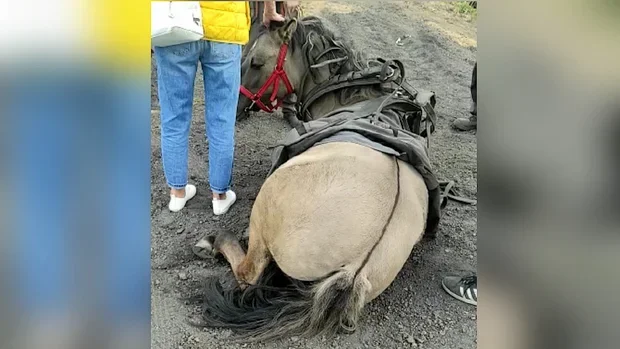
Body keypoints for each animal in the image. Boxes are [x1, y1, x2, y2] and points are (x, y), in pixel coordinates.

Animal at [191, 17, 444, 342]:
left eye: (256, 62)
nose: (234, 108)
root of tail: (353, 270)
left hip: (266, 206)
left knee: (248, 272)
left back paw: (211, 242)